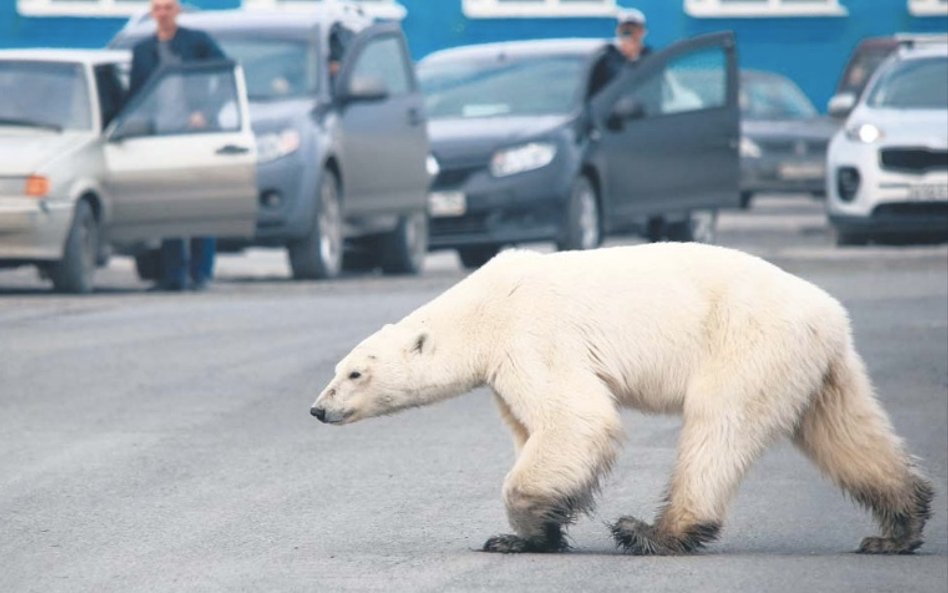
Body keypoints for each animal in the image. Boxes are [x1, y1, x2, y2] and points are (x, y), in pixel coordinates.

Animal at [312, 242, 932, 556]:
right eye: (338, 369)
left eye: (355, 373)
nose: (318, 409)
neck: (482, 306)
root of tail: (829, 314)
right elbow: (533, 428)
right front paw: (529, 535)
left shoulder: (532, 334)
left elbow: (575, 419)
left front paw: (524, 526)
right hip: (817, 365)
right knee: (845, 432)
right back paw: (898, 527)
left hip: (747, 341)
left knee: (717, 426)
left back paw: (653, 531)